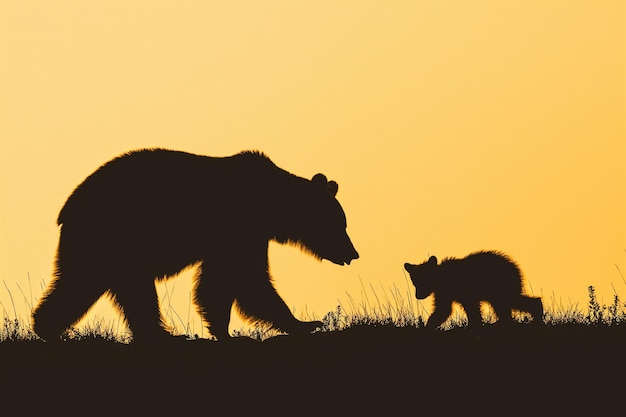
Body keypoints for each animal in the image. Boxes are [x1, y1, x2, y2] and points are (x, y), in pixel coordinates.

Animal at [31, 149, 358, 342]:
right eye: (340, 224)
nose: (353, 253)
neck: (269, 205)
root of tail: (68, 207)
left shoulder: (241, 236)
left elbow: (229, 282)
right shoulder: (238, 231)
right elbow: (245, 282)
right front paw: (305, 323)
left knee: (86, 285)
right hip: (111, 235)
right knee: (115, 287)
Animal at [404, 250, 540, 328]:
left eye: (422, 281)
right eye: (414, 283)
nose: (418, 295)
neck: (441, 280)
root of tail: (515, 267)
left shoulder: (463, 290)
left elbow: (471, 308)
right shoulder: (444, 293)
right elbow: (443, 310)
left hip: (501, 286)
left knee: (509, 302)